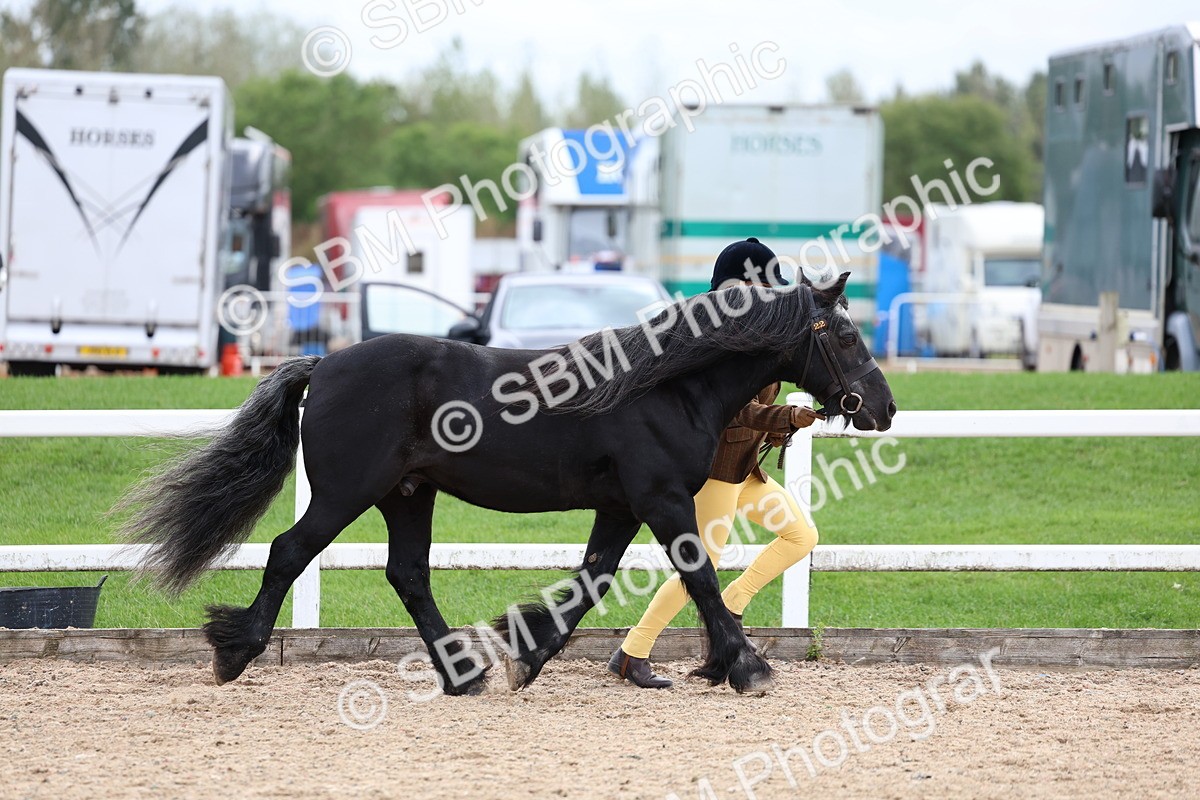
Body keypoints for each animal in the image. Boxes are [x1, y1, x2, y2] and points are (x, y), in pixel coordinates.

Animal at [112, 272, 895, 696]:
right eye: (846, 336)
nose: (883, 407)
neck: (666, 387)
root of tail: (323, 365)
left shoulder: (621, 506)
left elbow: (591, 581)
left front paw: (528, 656)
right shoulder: (662, 499)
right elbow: (698, 576)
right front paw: (747, 666)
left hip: (408, 495)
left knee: (408, 574)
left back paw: (464, 674)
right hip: (346, 494)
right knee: (288, 553)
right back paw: (234, 652)